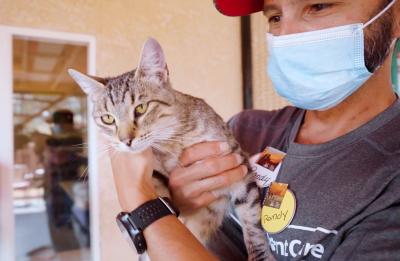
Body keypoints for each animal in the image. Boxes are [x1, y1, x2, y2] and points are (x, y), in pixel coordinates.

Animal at [69, 37, 274, 258]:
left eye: (141, 108)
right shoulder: (156, 175)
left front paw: (261, 254)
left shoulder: (239, 165)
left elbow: (251, 219)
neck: (172, 143)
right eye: (108, 119)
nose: (125, 140)